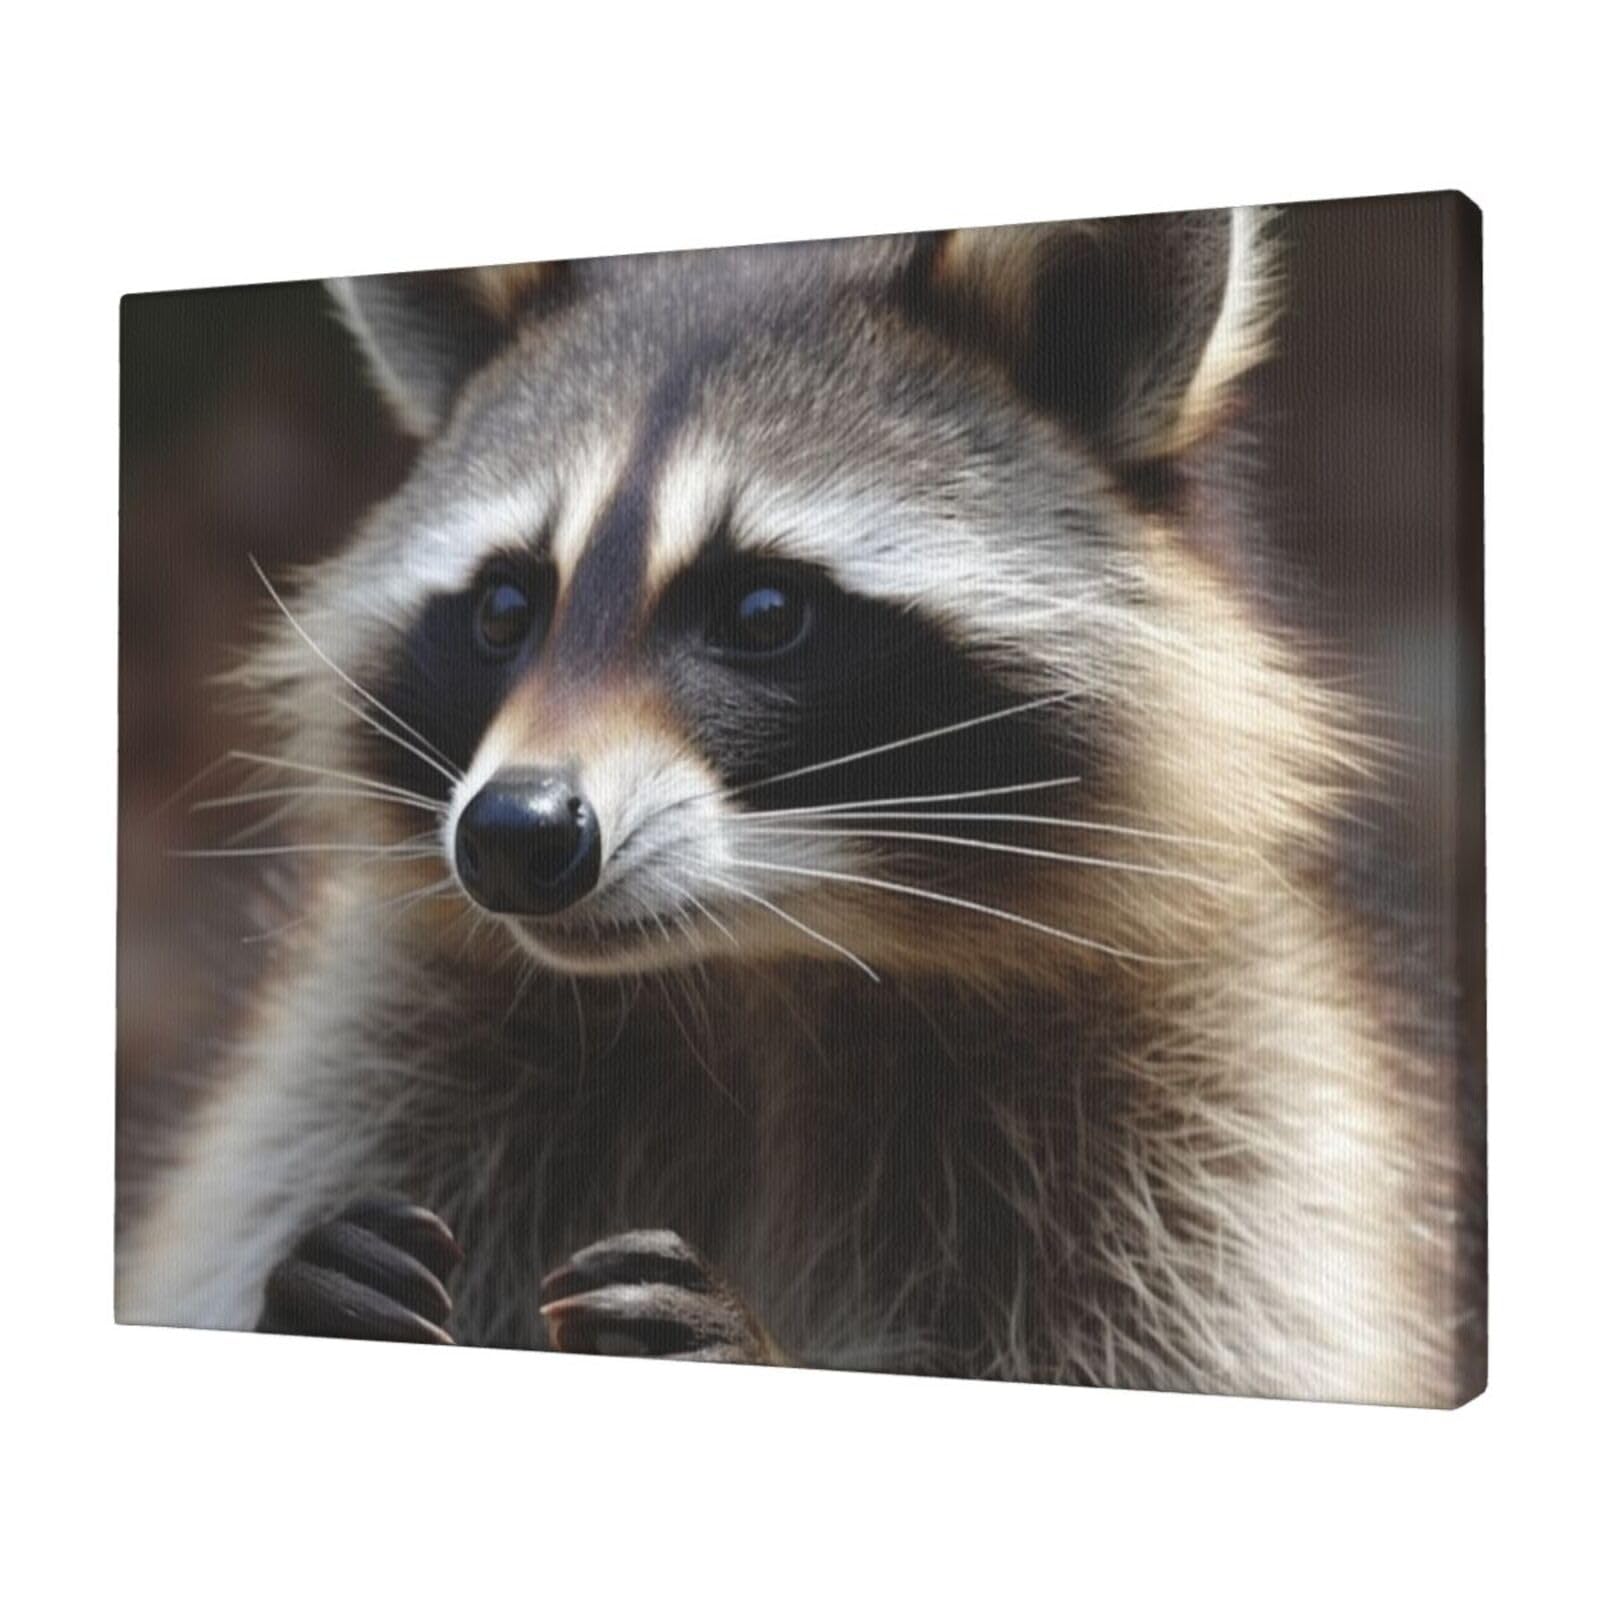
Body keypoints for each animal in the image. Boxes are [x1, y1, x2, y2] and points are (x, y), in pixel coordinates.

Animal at [118, 208, 1475, 1405]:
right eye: (505, 607)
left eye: (763, 611)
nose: (511, 835)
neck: (759, 960)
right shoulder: (379, 1044)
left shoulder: (1220, 1102)